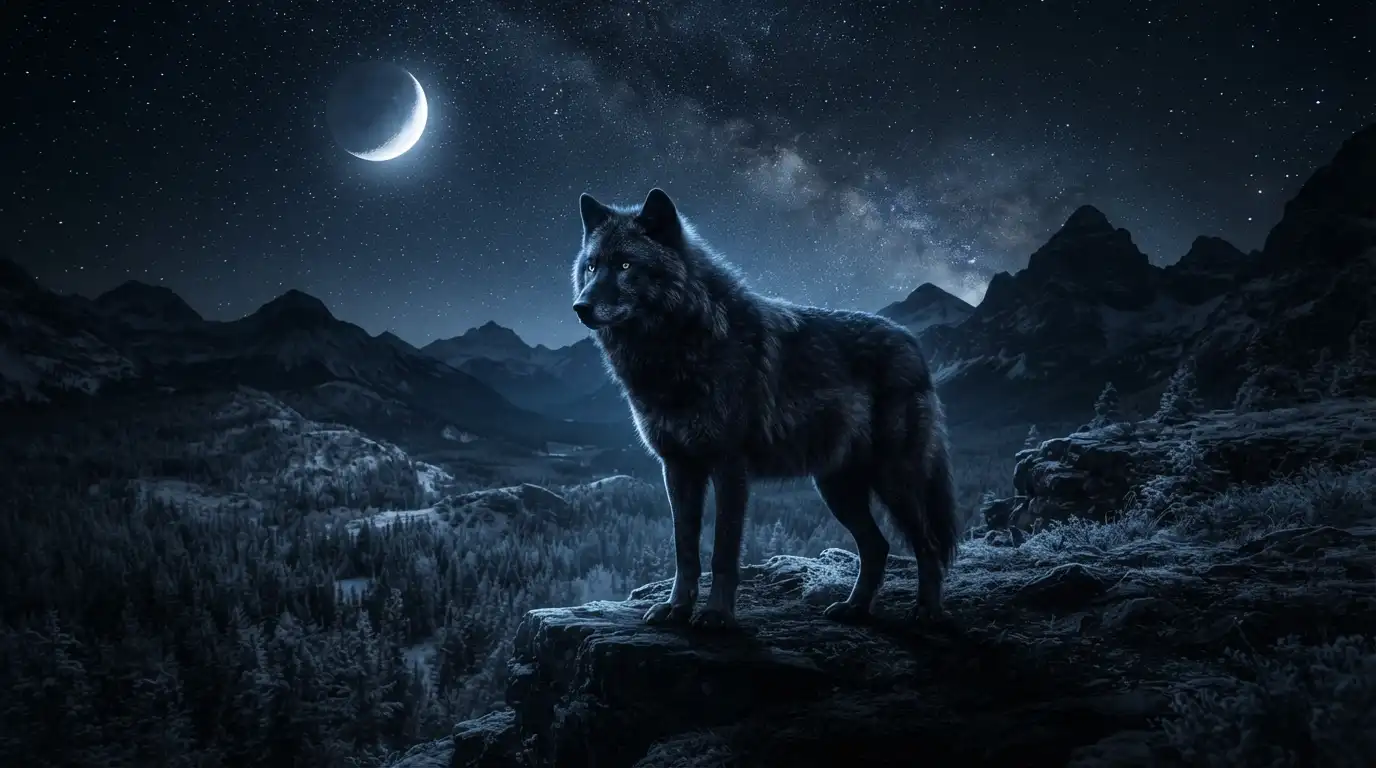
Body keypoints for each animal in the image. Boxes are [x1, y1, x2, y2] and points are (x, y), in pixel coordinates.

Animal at [571, 188, 960, 630]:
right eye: (591, 266)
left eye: (625, 265)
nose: (580, 307)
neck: (678, 347)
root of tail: (913, 343)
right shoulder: (678, 468)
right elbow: (684, 550)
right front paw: (676, 610)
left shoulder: (729, 466)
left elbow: (723, 552)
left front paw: (716, 616)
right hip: (836, 488)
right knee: (876, 547)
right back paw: (853, 608)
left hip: (894, 480)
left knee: (928, 544)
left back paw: (927, 612)